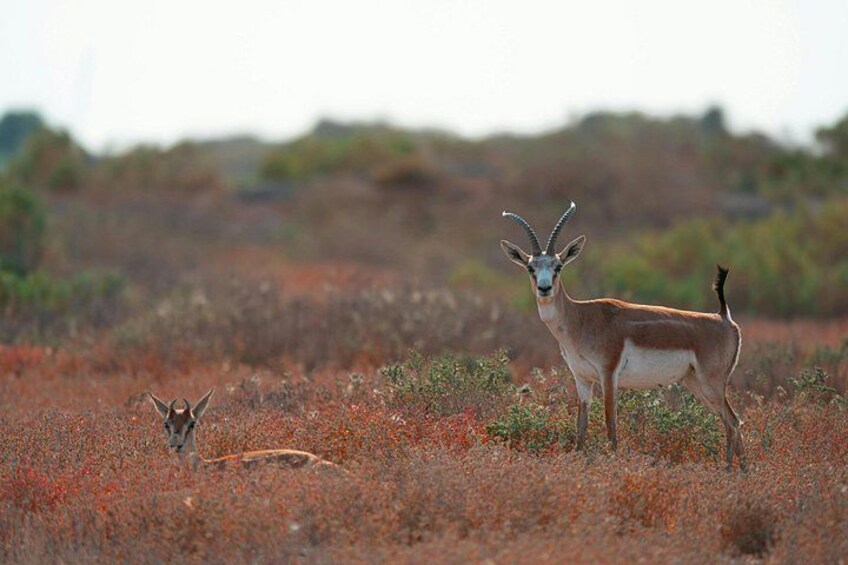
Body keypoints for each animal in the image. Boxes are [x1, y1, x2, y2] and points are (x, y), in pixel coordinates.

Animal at [500, 202, 746, 470]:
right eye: (530, 267)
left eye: (558, 266)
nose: (544, 288)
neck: (581, 318)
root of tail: (723, 318)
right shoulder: (582, 379)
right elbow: (581, 426)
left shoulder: (608, 374)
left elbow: (611, 425)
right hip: (696, 383)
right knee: (732, 422)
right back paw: (741, 472)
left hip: (711, 383)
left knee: (733, 422)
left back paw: (731, 471)